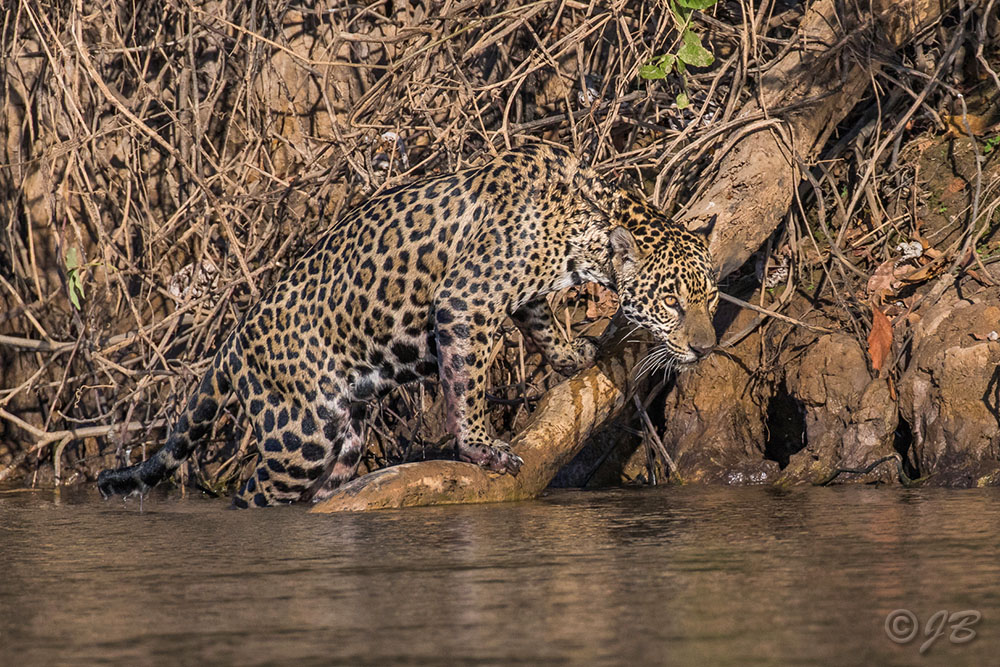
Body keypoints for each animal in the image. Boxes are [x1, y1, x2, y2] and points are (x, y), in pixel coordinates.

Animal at [97, 142, 719, 508]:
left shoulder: (520, 295)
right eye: (670, 303)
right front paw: (482, 449)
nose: (706, 349)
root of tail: (234, 340)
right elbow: (467, 383)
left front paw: (572, 355)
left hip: (344, 439)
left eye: (710, 297)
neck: (580, 227)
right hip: (297, 437)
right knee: (251, 493)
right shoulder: (466, 301)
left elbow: (540, 319)